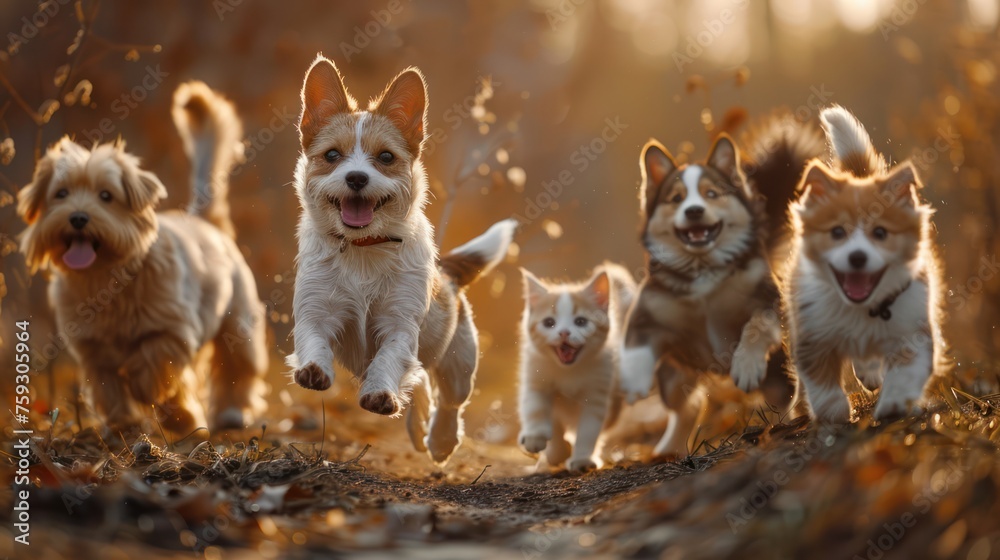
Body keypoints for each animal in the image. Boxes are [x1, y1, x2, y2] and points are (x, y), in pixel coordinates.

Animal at [19, 82, 270, 434]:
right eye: (61, 194)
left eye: (106, 196)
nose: (78, 217)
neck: (105, 275)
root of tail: (205, 221)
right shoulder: (92, 349)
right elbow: (108, 388)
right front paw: (123, 423)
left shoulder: (172, 330)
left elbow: (152, 365)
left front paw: (166, 406)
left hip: (239, 323)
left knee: (238, 369)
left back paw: (230, 413)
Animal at [520, 262, 636, 472]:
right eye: (549, 323)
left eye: (581, 322)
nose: (564, 333)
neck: (569, 371)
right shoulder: (536, 377)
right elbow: (537, 408)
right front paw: (541, 441)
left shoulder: (597, 394)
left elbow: (588, 430)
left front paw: (581, 459)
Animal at [620, 112, 824, 456]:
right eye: (676, 199)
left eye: (711, 194)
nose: (694, 210)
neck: (703, 273)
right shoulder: (647, 312)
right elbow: (635, 343)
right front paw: (633, 378)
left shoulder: (766, 299)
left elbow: (756, 326)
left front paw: (746, 364)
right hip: (675, 376)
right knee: (687, 407)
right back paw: (669, 448)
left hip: (776, 373)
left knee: (787, 394)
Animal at [780, 105, 944, 422]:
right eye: (837, 232)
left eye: (880, 233)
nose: (858, 257)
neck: (861, 309)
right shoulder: (812, 335)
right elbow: (821, 383)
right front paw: (834, 414)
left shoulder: (912, 331)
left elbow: (906, 372)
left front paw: (894, 404)